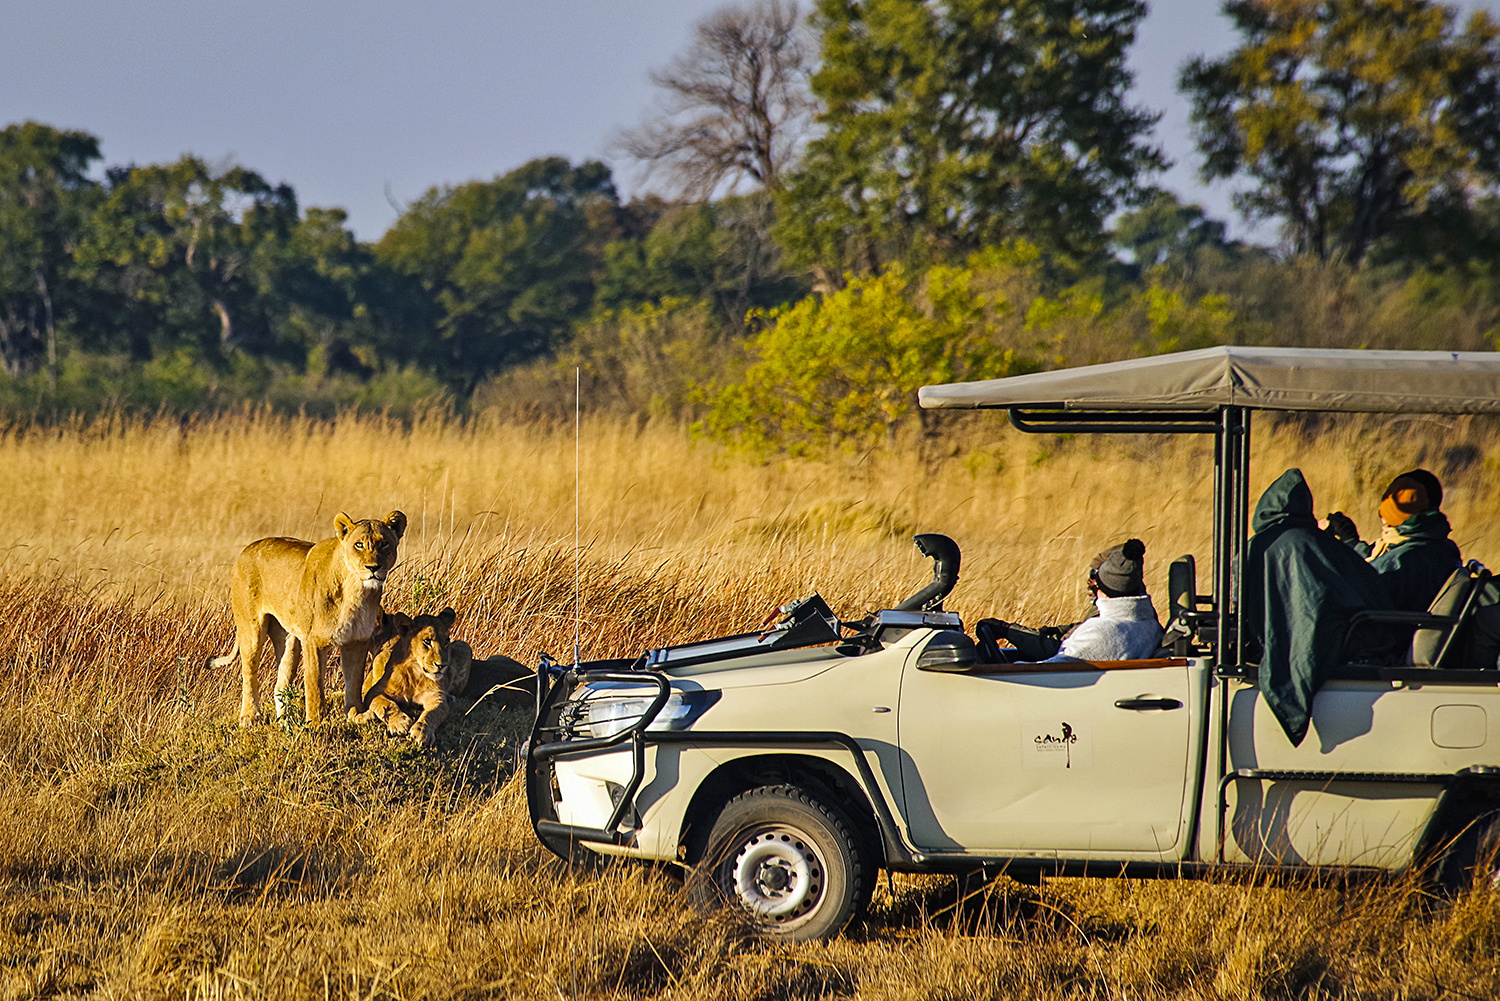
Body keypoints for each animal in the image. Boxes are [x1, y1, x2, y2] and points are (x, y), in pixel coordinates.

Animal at [211, 513, 408, 723]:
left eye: (384, 543)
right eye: (359, 545)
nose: (373, 567)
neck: (356, 591)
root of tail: (246, 550)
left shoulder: (357, 640)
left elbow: (354, 682)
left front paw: (357, 715)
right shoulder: (313, 640)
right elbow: (314, 685)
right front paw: (315, 723)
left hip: (289, 642)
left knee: (280, 685)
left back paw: (285, 722)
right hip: (252, 631)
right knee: (249, 674)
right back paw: (250, 717)